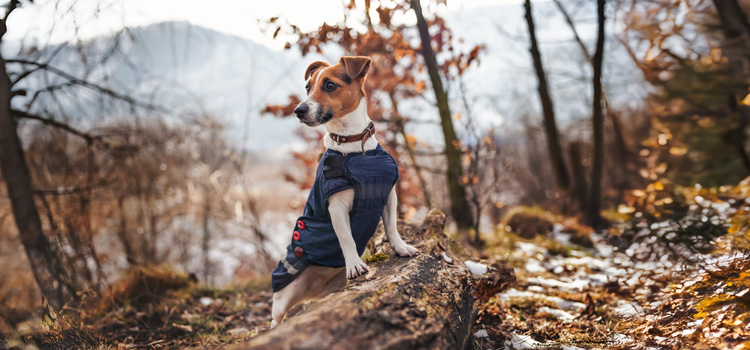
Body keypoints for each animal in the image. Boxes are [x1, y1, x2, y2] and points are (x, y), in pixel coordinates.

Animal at [270, 56, 420, 328]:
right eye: (307, 87)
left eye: (330, 85)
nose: (299, 110)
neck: (353, 144)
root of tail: (313, 289)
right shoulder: (336, 207)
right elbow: (346, 238)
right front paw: (353, 264)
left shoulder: (388, 195)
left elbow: (392, 227)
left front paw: (401, 247)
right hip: (285, 293)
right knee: (277, 318)